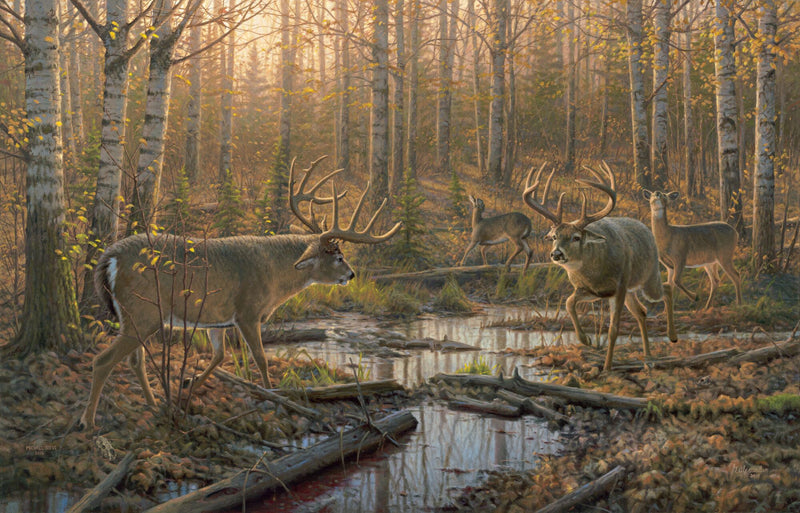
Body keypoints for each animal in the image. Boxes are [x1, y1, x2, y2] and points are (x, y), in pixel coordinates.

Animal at [79, 156, 401, 430]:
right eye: (338, 256)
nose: (351, 275)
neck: (275, 272)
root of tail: (109, 257)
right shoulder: (248, 312)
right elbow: (260, 358)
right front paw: (275, 397)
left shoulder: (216, 319)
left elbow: (219, 355)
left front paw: (189, 386)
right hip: (143, 313)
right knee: (103, 361)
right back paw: (88, 421)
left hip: (138, 316)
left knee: (134, 360)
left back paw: (155, 403)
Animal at [523, 162, 677, 371]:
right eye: (554, 236)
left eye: (576, 237)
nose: (556, 254)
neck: (595, 273)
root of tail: (646, 228)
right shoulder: (589, 290)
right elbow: (568, 302)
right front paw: (585, 340)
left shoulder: (618, 288)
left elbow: (613, 330)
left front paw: (607, 367)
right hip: (631, 290)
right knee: (642, 312)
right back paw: (648, 358)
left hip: (648, 278)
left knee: (667, 289)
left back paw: (672, 336)